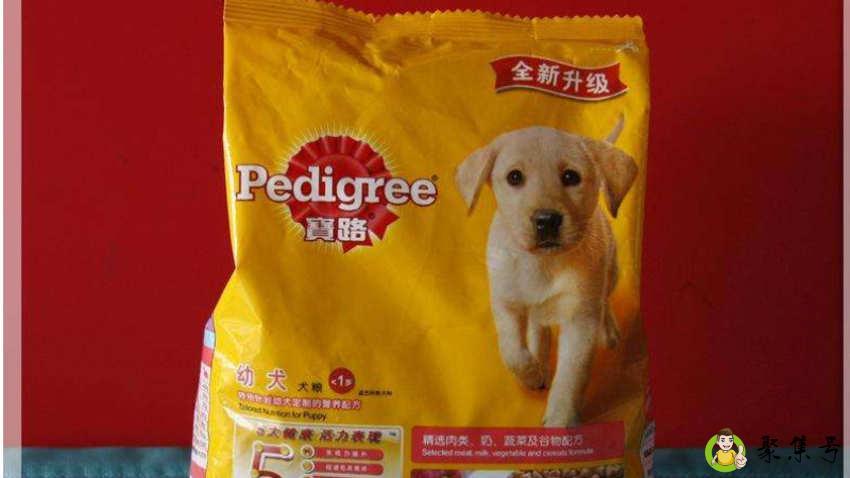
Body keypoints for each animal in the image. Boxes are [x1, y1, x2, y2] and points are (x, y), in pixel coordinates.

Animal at [455, 115, 637, 427]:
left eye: (571, 177)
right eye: (514, 177)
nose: (546, 220)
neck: (542, 264)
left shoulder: (580, 320)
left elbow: (570, 376)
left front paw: (560, 420)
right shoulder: (505, 303)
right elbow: (512, 351)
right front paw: (532, 373)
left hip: (611, 270)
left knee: (604, 299)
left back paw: (609, 330)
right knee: (537, 325)